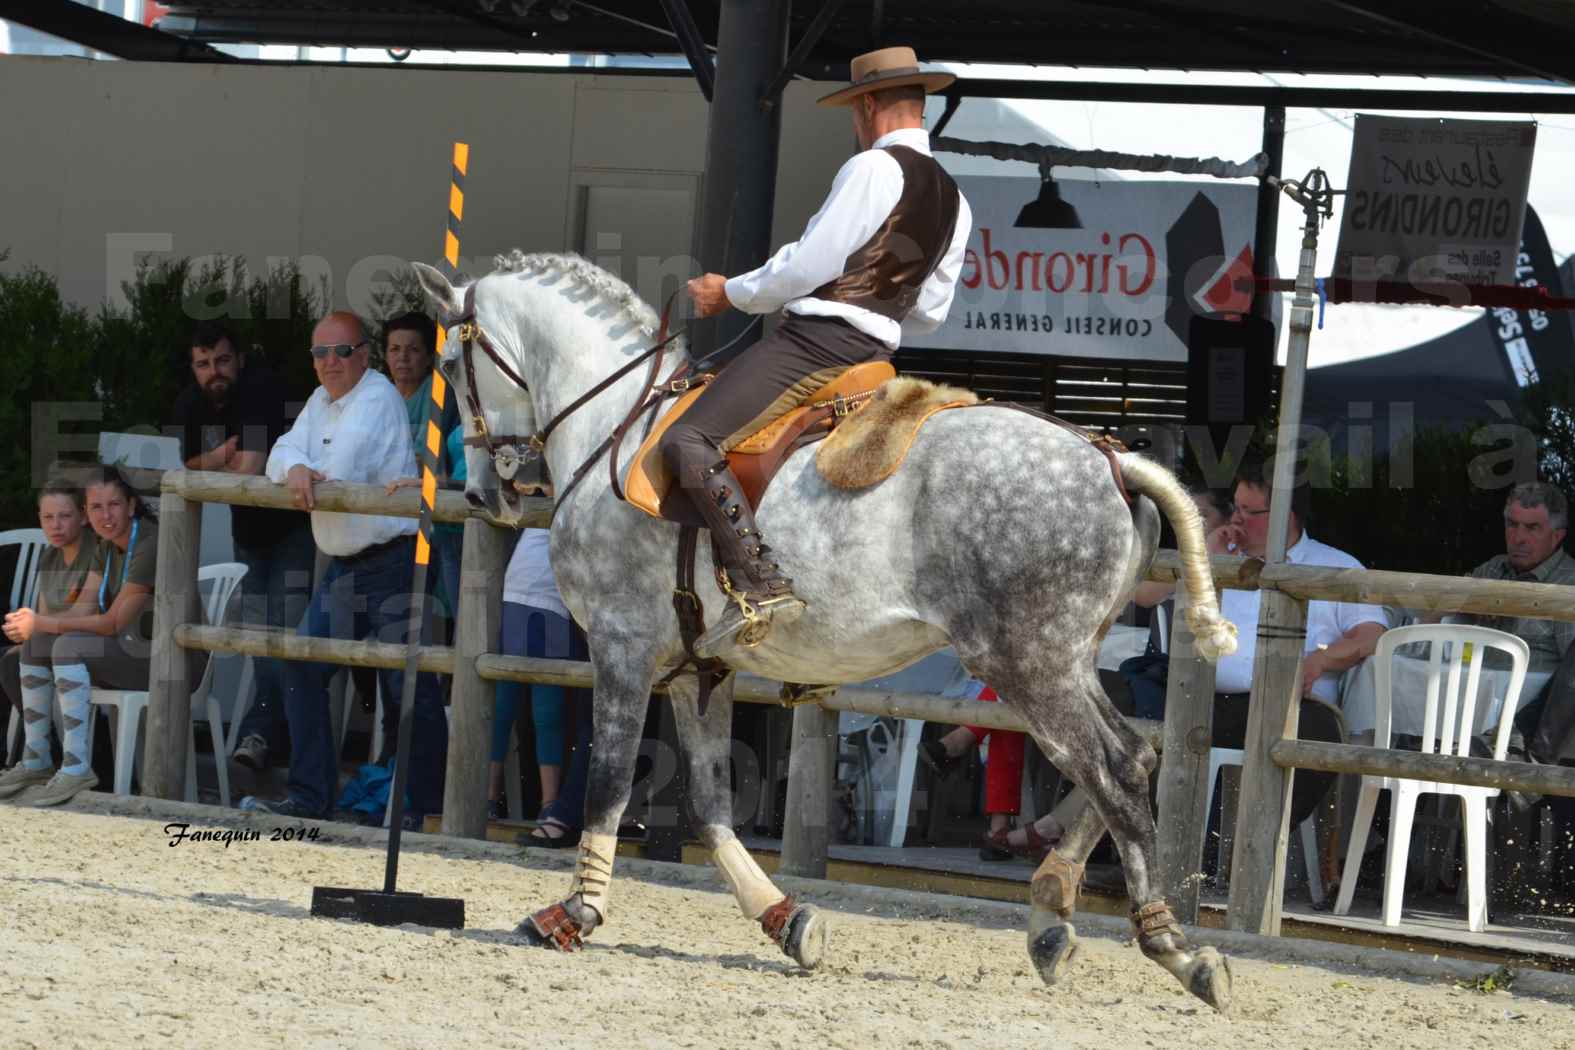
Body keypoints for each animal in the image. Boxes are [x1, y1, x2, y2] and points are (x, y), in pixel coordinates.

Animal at [415, 251, 1241, 1007]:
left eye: (452, 363)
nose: (483, 493)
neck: (616, 422)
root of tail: (1109, 459)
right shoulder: (696, 669)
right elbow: (710, 809)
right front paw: (785, 920)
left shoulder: (621, 650)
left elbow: (610, 785)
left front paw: (575, 913)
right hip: (1066, 658)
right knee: (1132, 756)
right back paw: (1051, 917)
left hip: (1025, 662)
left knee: (1111, 768)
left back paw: (1170, 946)